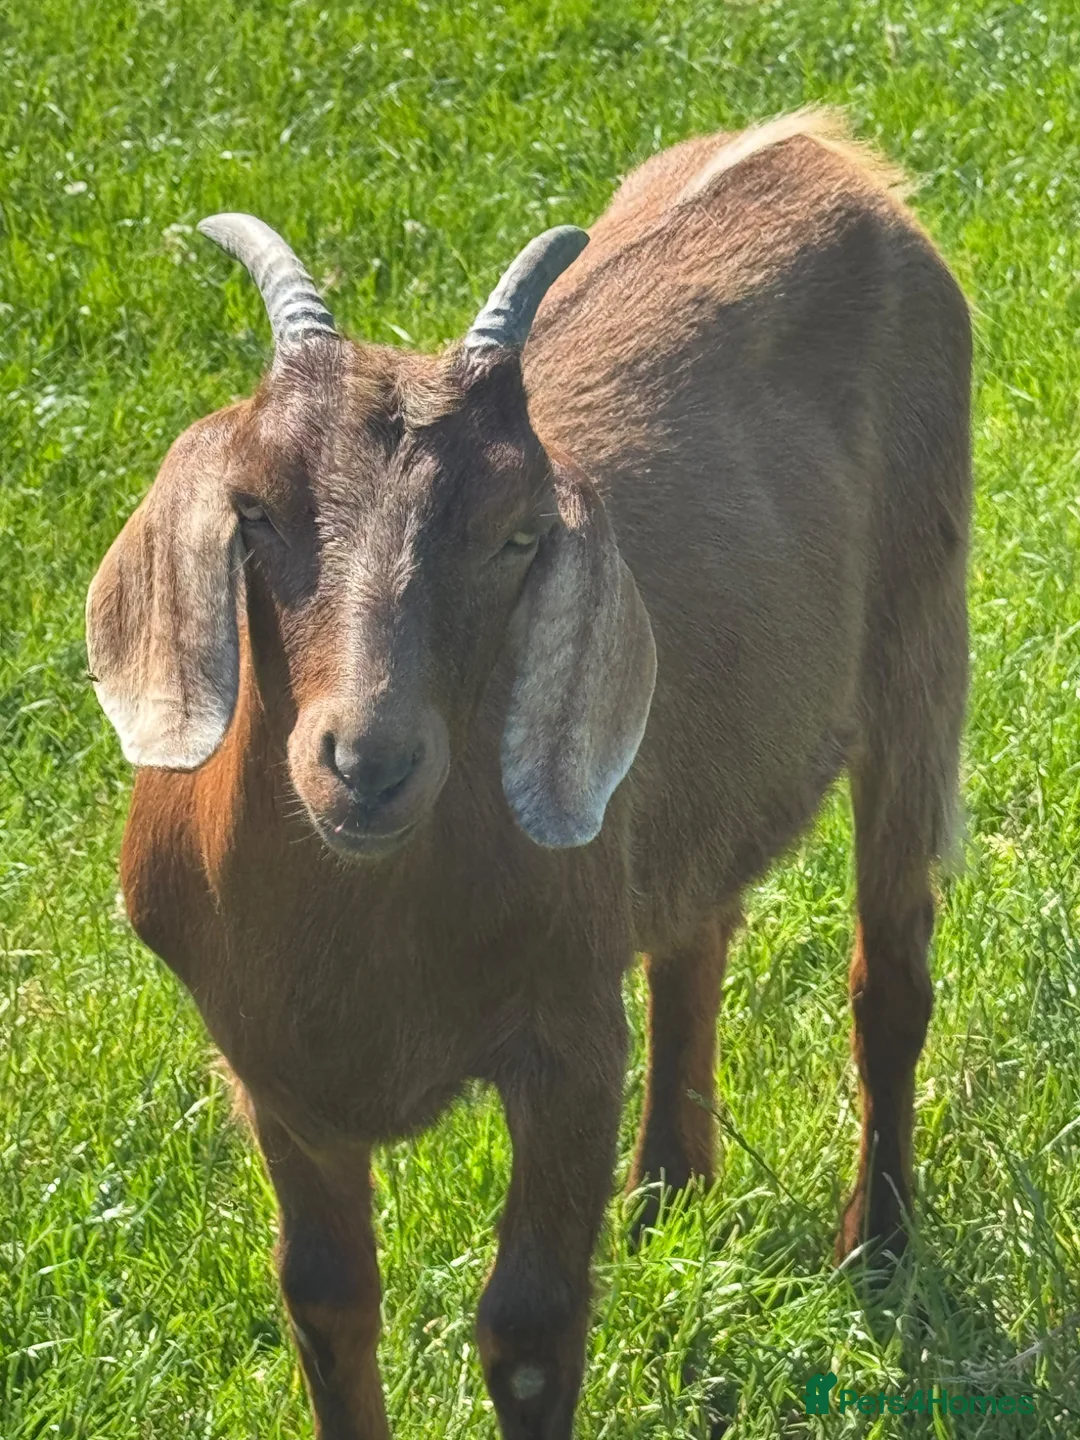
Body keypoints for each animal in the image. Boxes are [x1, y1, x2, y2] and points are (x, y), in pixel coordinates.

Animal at [86, 110, 971, 1439]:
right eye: (255, 513)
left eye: (517, 534)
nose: (368, 760)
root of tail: (824, 150)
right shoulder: (269, 1065)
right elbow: (323, 1300)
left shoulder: (567, 1043)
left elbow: (531, 1327)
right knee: (694, 929)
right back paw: (666, 1197)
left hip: (924, 640)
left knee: (891, 976)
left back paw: (876, 1249)